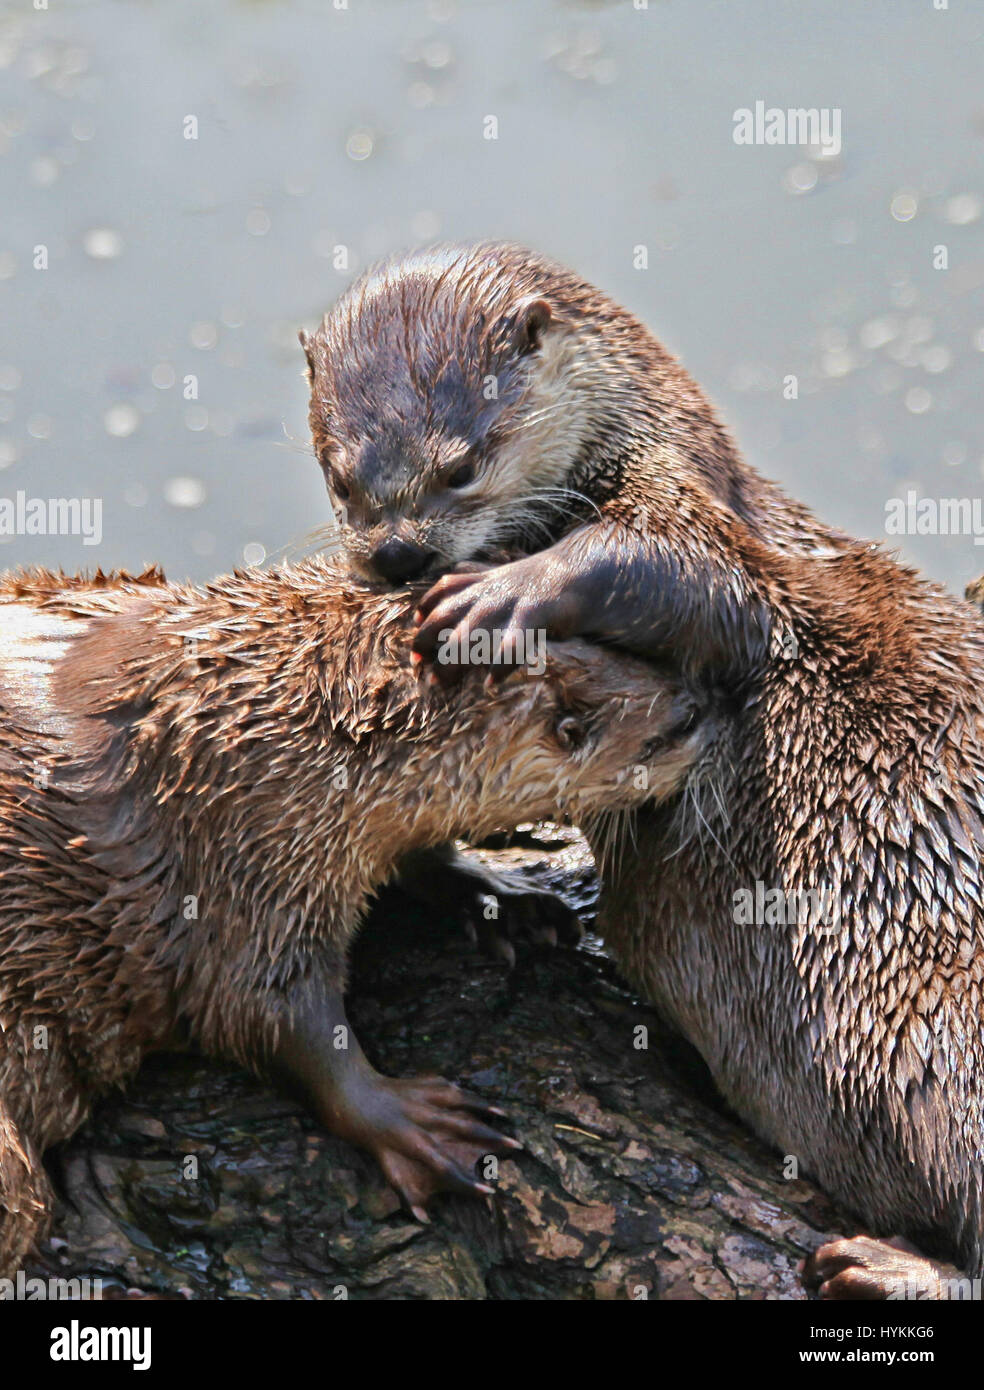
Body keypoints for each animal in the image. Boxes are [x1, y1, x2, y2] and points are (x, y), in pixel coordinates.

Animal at [0, 558, 703, 1273]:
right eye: (662, 738)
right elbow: (261, 1011)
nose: (696, 706)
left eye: (624, 649)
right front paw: (412, 1123)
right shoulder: (241, 857)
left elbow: (422, 859)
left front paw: (508, 901)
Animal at [302, 236, 984, 1289]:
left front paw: (499, 592)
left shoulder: (695, 497)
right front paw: (496, 903)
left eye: (461, 467)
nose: (396, 554)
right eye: (341, 478)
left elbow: (686, 567)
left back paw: (887, 1266)